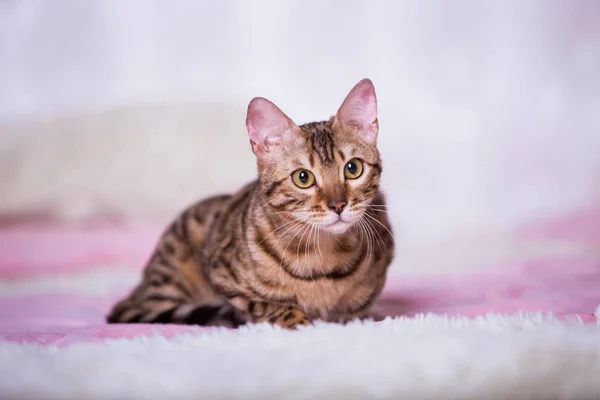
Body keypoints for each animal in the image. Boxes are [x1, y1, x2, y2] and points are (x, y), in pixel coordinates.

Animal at [105, 79, 396, 332]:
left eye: (353, 168)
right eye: (303, 178)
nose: (338, 204)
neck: (324, 255)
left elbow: (357, 309)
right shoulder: (223, 277)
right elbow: (265, 305)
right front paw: (297, 320)